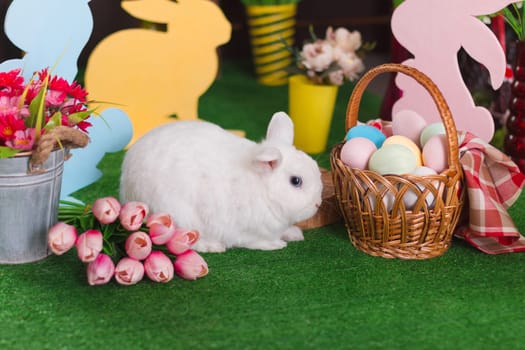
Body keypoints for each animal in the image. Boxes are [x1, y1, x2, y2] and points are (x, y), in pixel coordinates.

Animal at [120, 112, 322, 252]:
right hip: (177, 217)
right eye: (296, 181)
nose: (318, 204)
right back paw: (212, 246)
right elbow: (256, 241)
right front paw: (276, 244)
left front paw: (294, 234)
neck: (262, 190)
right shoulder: (245, 231)